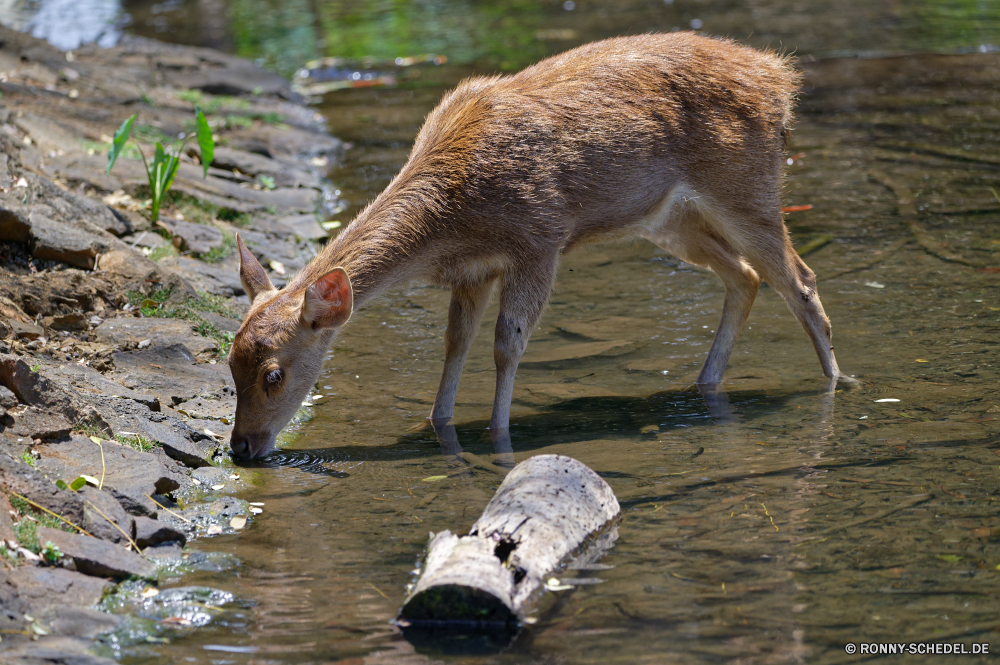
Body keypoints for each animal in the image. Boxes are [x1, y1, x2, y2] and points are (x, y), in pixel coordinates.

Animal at [229, 29, 860, 456]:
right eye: (229, 363)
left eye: (274, 375)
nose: (241, 448)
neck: (451, 221)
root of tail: (780, 79)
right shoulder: (473, 269)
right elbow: (455, 344)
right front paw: (439, 423)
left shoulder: (540, 238)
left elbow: (507, 344)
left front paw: (498, 433)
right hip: (669, 219)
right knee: (746, 277)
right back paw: (704, 382)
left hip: (746, 183)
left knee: (799, 281)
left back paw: (837, 383)